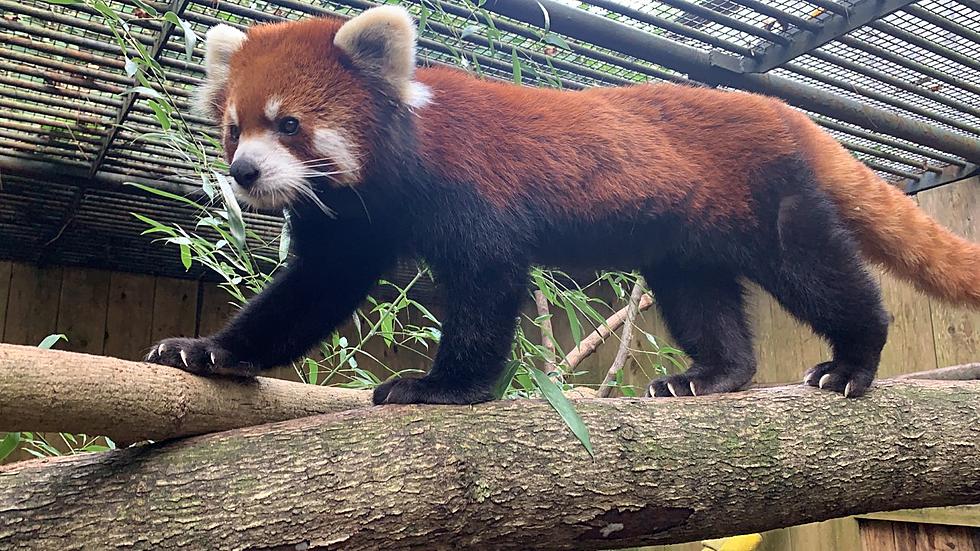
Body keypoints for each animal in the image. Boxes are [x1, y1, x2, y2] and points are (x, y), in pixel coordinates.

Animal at [147, 5, 980, 406]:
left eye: (289, 124)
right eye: (235, 128)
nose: (245, 173)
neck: (392, 174)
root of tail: (784, 110)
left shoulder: (472, 194)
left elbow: (487, 287)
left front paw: (444, 387)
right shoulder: (350, 224)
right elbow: (305, 297)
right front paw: (209, 350)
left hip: (766, 200)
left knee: (816, 270)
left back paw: (853, 359)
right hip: (686, 240)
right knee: (702, 300)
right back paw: (712, 374)